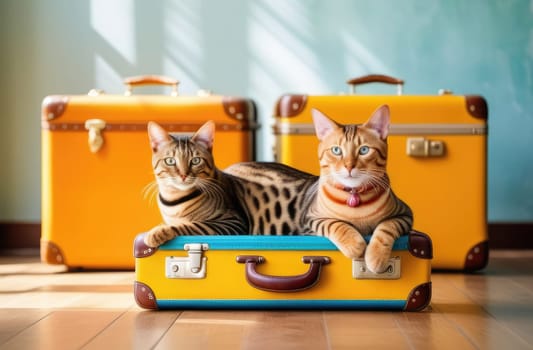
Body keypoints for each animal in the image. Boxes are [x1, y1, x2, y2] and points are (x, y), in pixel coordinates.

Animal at [142, 105, 412, 274]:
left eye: (195, 161)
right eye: (170, 161)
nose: (183, 174)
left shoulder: (231, 223)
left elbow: (385, 228)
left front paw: (373, 257)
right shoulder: (311, 220)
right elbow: (336, 224)